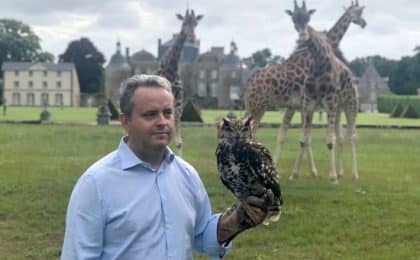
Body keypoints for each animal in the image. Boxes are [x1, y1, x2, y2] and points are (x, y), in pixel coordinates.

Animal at [158, 9, 203, 156]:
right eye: (184, 23)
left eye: (196, 23)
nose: (192, 38)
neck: (171, 70)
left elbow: (178, 142)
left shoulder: (178, 106)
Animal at [288, 0, 360, 183]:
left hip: (350, 105)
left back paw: (354, 174)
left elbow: (329, 141)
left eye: (308, 18)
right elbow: (303, 140)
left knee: (351, 136)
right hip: (338, 109)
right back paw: (341, 172)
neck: (319, 62)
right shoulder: (309, 105)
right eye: (294, 20)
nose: (302, 36)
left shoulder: (329, 105)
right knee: (341, 137)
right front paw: (294, 174)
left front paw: (333, 177)